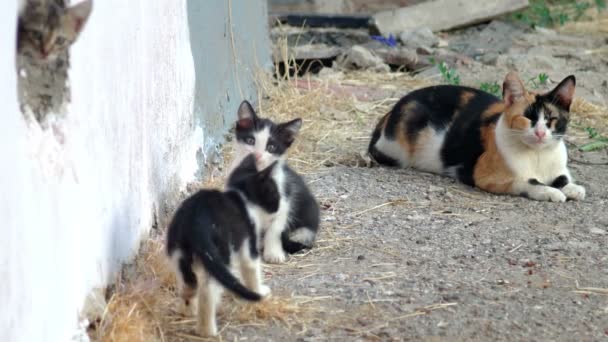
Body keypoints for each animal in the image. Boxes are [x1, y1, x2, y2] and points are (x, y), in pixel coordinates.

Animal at [167, 155, 280, 336]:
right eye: (275, 194)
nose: (278, 207)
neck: (242, 196)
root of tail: (195, 221)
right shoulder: (248, 240)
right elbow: (251, 268)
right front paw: (260, 290)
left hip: (178, 251)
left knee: (188, 281)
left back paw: (188, 308)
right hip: (219, 253)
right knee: (208, 290)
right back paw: (206, 331)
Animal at [227, 100, 320, 264]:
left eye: (271, 147)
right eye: (250, 141)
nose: (257, 155)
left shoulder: (284, 199)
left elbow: (275, 229)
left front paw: (273, 254)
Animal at [368, 71, 588, 202]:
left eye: (551, 119)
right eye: (527, 117)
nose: (540, 133)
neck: (537, 156)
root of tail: (390, 111)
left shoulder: (559, 168)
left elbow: (563, 178)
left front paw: (572, 188)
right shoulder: (486, 176)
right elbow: (527, 182)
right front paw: (551, 192)